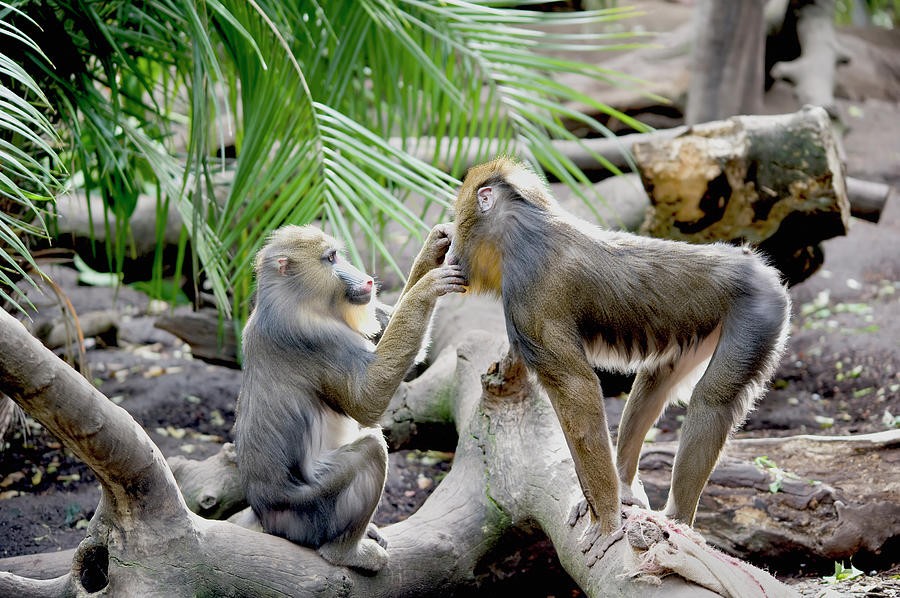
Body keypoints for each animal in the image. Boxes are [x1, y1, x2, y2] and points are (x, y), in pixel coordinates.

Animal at [234, 224, 464, 572]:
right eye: (330, 259)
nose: (366, 280)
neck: (291, 297)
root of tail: (267, 517)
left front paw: (433, 247)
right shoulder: (317, 338)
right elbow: (367, 400)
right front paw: (428, 287)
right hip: (312, 511)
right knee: (370, 449)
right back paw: (346, 553)